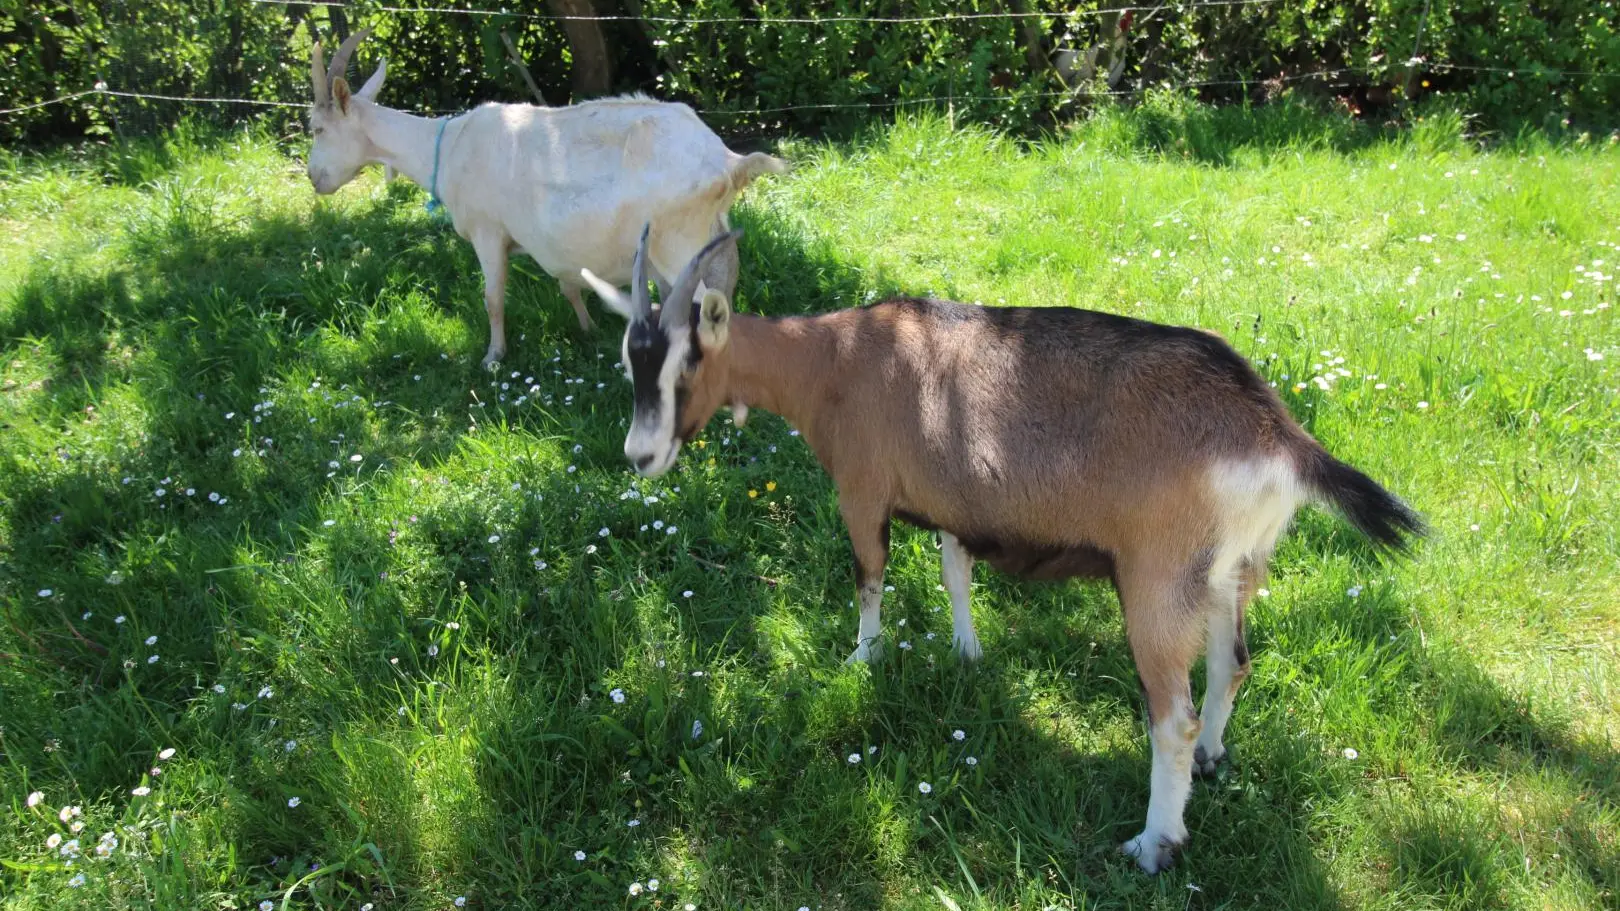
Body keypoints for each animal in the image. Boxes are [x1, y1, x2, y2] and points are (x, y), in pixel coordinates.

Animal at [306, 31, 787, 364]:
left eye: (317, 128)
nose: (314, 179)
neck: (450, 146)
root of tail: (727, 160)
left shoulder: (487, 231)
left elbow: (492, 298)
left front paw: (493, 357)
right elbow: (568, 285)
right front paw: (588, 328)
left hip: (675, 243)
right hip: (710, 237)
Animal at [583, 228, 1419, 875]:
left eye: (686, 361)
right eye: (630, 359)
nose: (639, 457)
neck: (836, 358)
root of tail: (1275, 433)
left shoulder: (862, 491)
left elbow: (869, 578)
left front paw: (862, 659)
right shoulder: (955, 500)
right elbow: (955, 573)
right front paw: (968, 652)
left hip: (1156, 580)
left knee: (1170, 717)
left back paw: (1153, 842)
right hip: (1229, 570)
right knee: (1232, 662)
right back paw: (1213, 757)